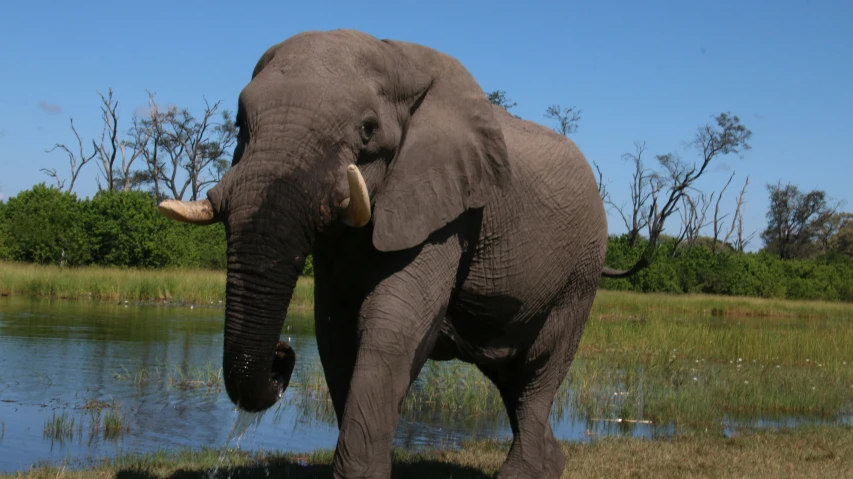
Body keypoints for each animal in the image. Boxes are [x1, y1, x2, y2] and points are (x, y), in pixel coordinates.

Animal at [158, 29, 640, 479]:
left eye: (368, 129)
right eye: (240, 124)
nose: (283, 355)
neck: (399, 60)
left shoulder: (447, 210)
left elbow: (391, 327)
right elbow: (335, 330)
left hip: (580, 274)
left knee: (538, 371)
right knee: (511, 379)